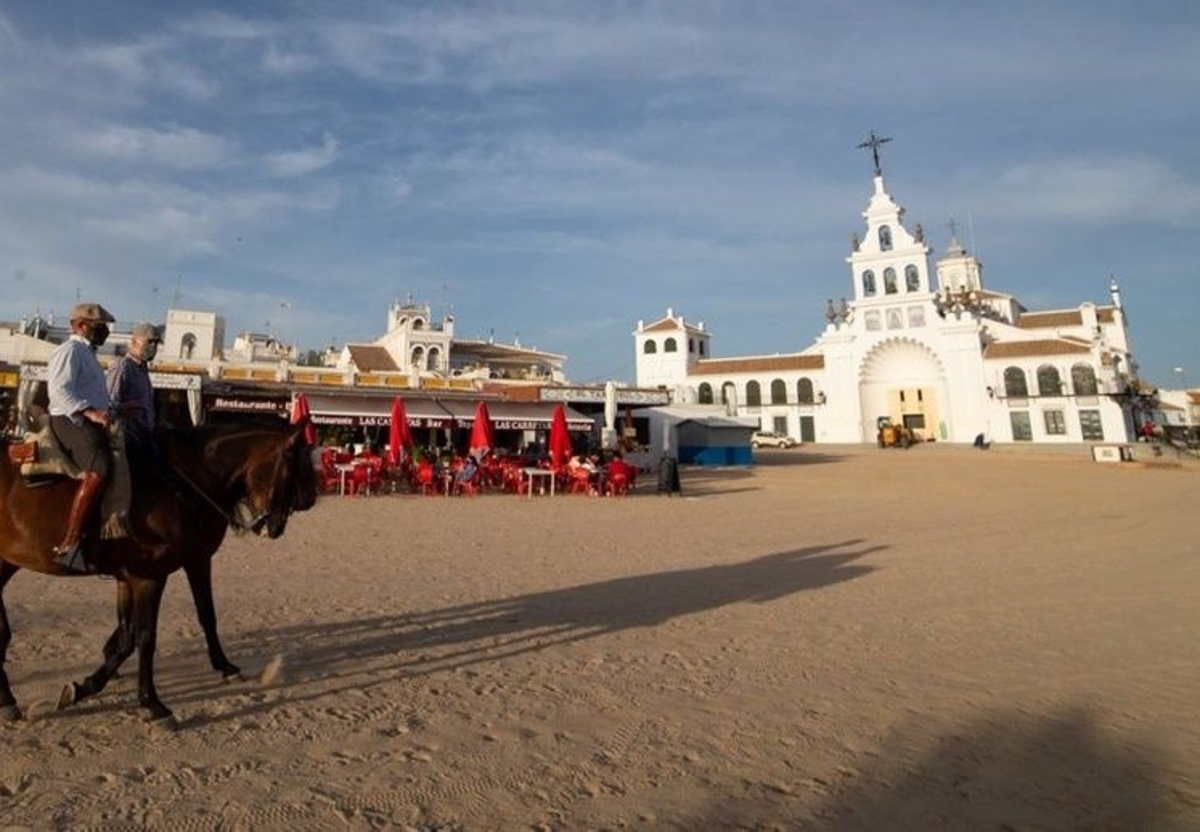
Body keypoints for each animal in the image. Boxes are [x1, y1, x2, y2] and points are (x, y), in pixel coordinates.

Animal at [0, 422, 319, 720]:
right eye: (293, 470)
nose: (277, 525)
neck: (179, 483)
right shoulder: (149, 577)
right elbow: (144, 636)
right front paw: (151, 701)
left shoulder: (173, 566)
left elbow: (183, 621)